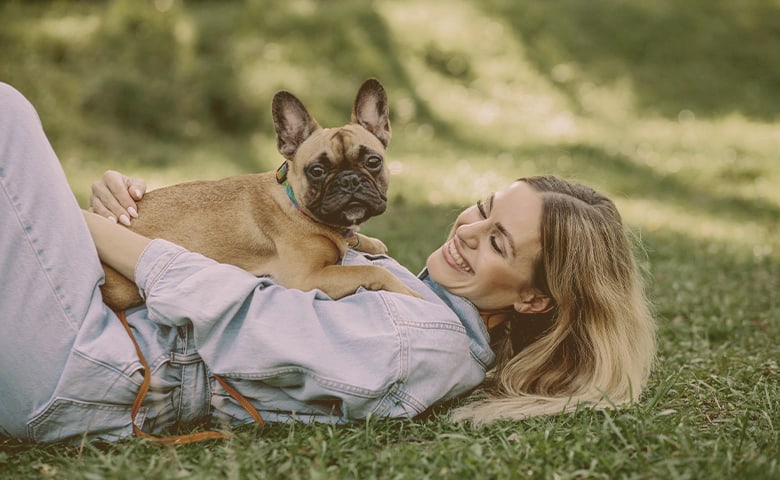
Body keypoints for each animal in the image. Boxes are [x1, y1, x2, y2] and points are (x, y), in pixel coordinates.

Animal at [103, 78, 420, 312]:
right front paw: (412, 294)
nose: (350, 180)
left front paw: (370, 241)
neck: (297, 205)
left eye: (373, 161)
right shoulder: (308, 278)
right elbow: (373, 272)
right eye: (317, 170)